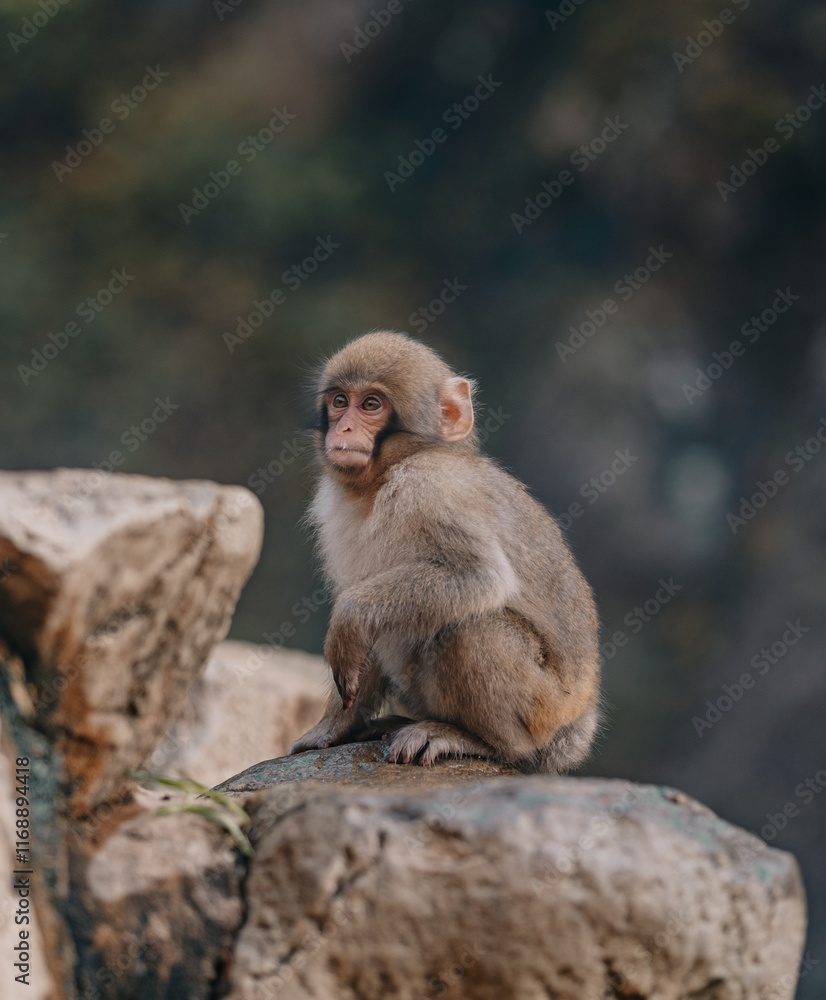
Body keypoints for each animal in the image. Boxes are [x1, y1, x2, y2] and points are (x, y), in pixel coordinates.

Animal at [289, 331, 600, 773]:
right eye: (339, 401)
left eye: (371, 404)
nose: (344, 427)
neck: (385, 477)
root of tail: (578, 726)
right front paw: (336, 724)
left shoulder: (433, 489)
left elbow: (479, 576)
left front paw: (347, 617)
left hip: (543, 707)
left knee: (466, 626)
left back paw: (481, 741)